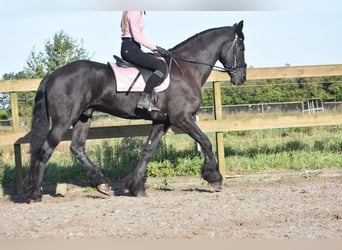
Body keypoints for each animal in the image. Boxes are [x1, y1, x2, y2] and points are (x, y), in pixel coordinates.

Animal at [23, 21, 246, 201]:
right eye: (241, 47)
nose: (241, 78)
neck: (186, 69)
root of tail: (52, 75)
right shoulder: (181, 118)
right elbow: (206, 141)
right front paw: (215, 179)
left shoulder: (162, 121)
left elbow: (148, 151)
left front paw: (135, 187)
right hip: (63, 120)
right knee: (45, 151)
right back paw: (35, 193)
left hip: (84, 117)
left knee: (77, 148)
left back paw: (101, 184)